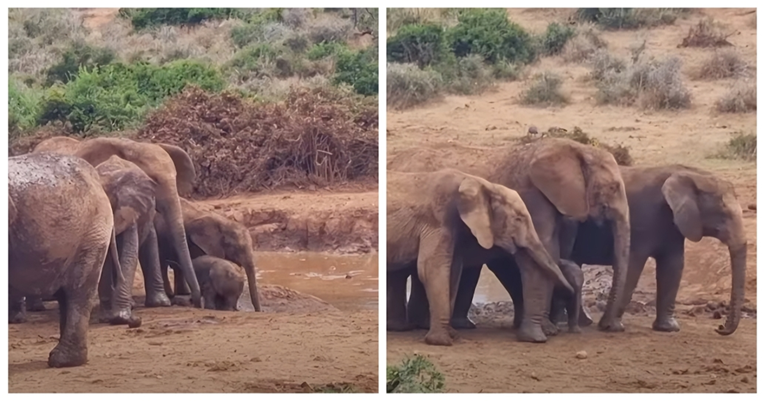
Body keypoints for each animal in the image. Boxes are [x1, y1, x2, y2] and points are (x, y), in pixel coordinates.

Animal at [32, 136, 203, 304]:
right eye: (155, 181)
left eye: (175, 178)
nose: (193, 300)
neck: (132, 146)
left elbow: (149, 235)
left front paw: (159, 303)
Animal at [384, 168, 572, 344]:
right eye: (518, 219)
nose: (569, 290)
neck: (481, 184)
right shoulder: (437, 218)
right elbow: (431, 269)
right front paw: (442, 341)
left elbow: (453, 270)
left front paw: (453, 335)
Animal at [548, 164, 748, 332]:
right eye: (724, 215)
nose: (720, 327)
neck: (689, 172)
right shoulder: (643, 220)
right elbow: (633, 264)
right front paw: (612, 327)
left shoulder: (674, 225)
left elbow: (673, 266)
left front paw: (668, 328)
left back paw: (583, 322)